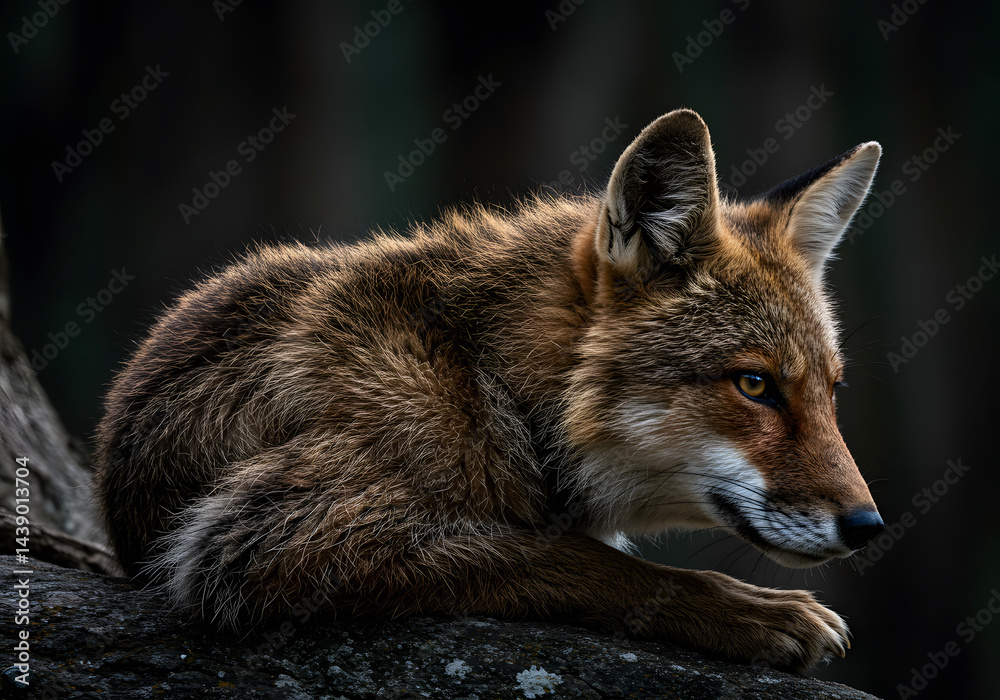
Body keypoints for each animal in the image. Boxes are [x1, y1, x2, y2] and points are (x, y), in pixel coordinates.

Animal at [93, 108, 884, 672]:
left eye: (832, 390)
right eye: (755, 385)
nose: (868, 527)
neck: (486, 379)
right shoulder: (267, 539)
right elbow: (582, 561)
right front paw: (753, 611)